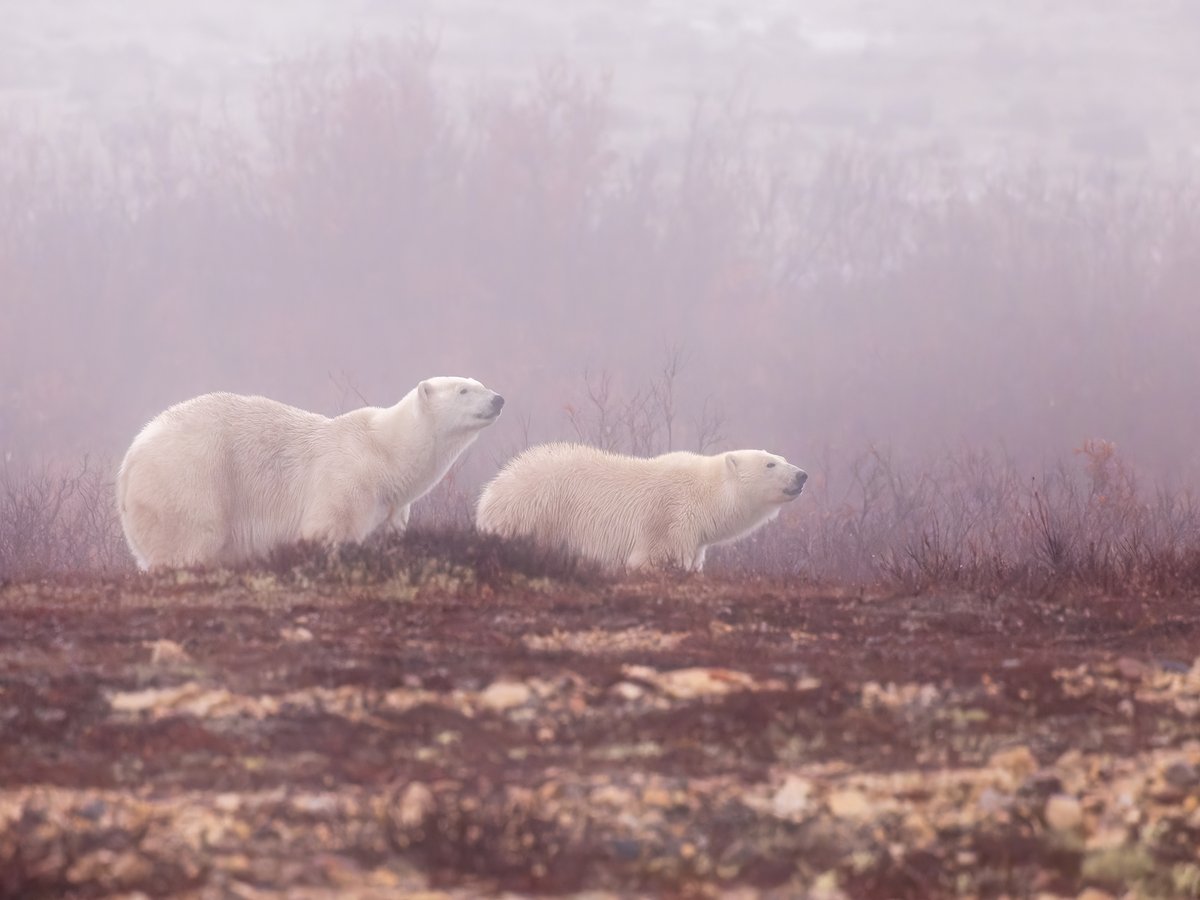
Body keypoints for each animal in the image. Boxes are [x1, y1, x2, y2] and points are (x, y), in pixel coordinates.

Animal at [115, 379, 501, 571]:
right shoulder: (347, 479)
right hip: (188, 478)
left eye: (479, 382)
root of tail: (130, 459)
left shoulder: (390, 505)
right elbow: (326, 530)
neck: (385, 452)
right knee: (189, 542)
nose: (498, 399)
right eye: (463, 390)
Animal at [475, 441, 806, 571]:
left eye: (781, 457)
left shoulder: (696, 538)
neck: (705, 493)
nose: (802, 475)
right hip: (532, 512)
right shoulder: (671, 518)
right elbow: (654, 559)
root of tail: (490, 493)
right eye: (770, 463)